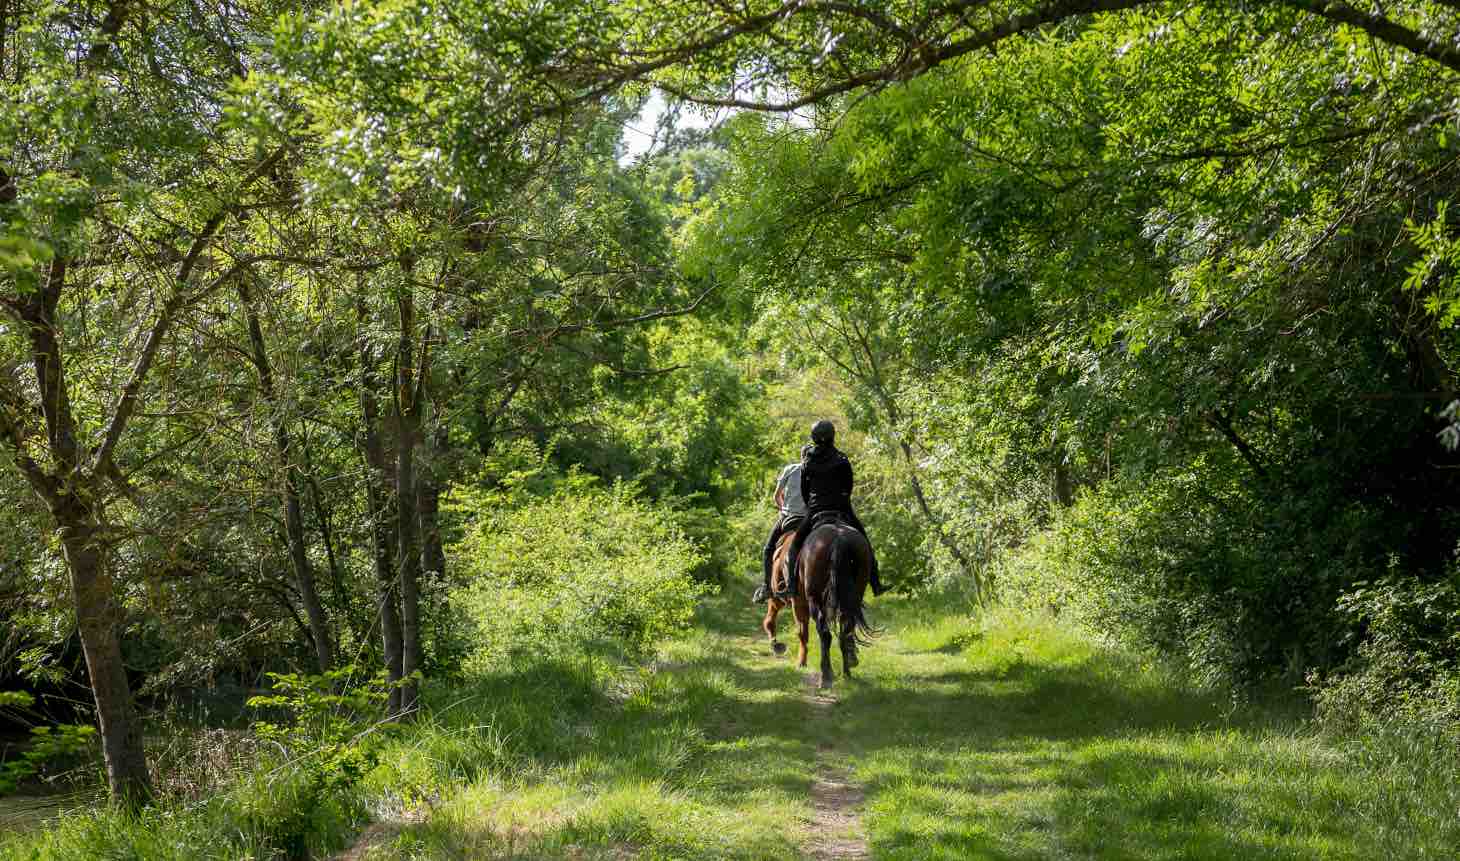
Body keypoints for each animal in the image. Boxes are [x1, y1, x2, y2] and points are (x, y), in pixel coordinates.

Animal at [759, 516, 870, 691]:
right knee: (845, 631)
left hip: (812, 600)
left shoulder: (793, 601)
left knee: (824, 634)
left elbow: (797, 631)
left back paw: (825, 677)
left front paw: (797, 659)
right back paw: (846, 674)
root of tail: (839, 537)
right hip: (853, 596)